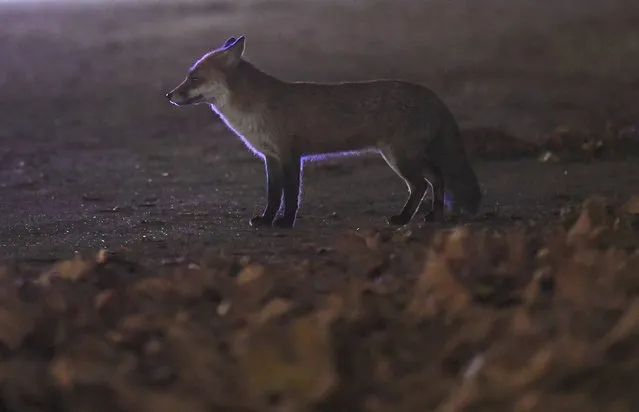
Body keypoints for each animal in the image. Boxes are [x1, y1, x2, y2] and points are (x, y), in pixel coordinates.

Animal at [168, 35, 482, 229]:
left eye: (194, 78)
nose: (169, 95)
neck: (253, 109)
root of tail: (432, 94)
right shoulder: (270, 158)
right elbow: (273, 195)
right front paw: (267, 220)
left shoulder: (290, 155)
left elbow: (290, 195)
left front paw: (285, 223)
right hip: (405, 156)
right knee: (437, 179)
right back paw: (435, 215)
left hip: (400, 158)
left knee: (420, 186)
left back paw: (404, 218)